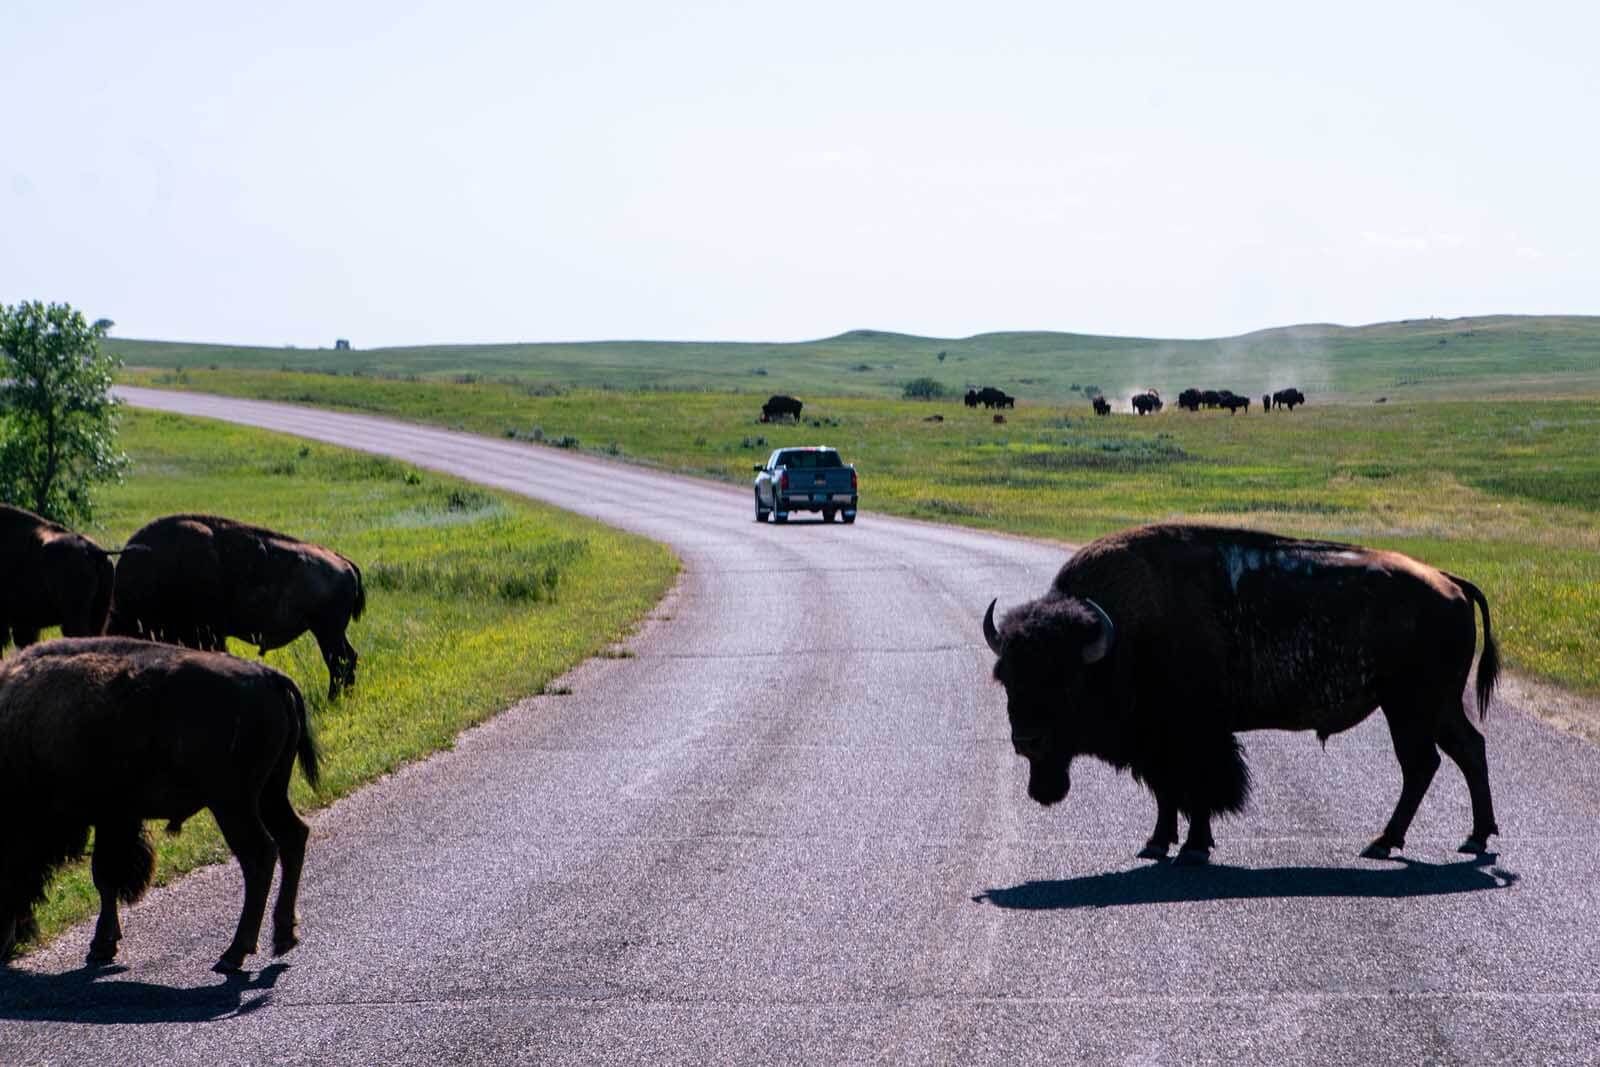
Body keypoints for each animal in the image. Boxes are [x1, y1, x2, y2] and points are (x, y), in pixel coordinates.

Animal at [0, 639, 318, 972]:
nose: (5, 947)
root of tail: (270, 676)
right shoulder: (114, 819)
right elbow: (106, 877)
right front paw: (104, 945)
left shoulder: (109, 818)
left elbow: (105, 875)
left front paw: (101, 945)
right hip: (270, 793)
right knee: (293, 836)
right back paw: (283, 936)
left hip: (233, 805)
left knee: (259, 855)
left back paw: (233, 954)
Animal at [109, 511, 366, 697]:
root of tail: (343, 562)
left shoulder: (206, 634)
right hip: (330, 632)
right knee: (347, 658)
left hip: (326, 632)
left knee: (339, 661)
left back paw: (333, 698)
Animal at [972, 524, 1497, 870]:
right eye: (1009, 678)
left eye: (1066, 681)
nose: (1027, 741)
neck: (1123, 634)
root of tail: (1450, 582)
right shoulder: (1158, 745)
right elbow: (1168, 794)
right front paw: (1157, 843)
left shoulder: (1194, 737)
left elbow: (1199, 790)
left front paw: (1193, 848)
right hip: (1433, 706)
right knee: (1465, 751)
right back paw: (1467, 838)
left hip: (1410, 706)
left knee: (1424, 763)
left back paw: (1390, 842)